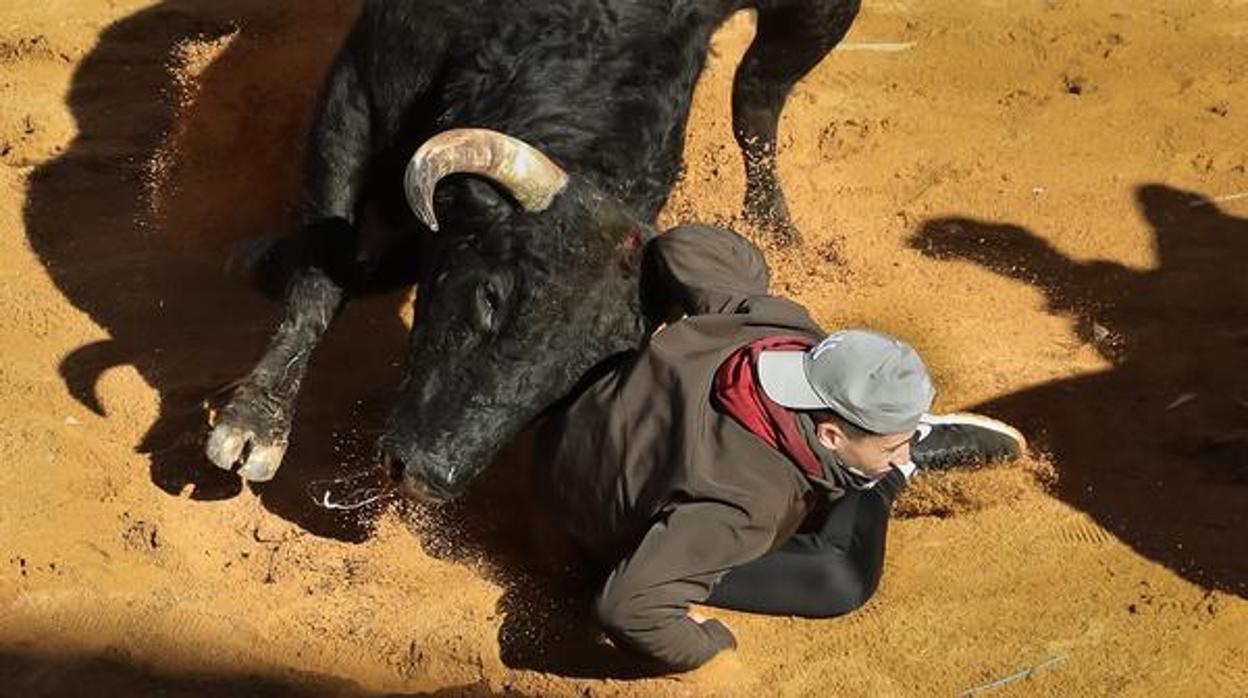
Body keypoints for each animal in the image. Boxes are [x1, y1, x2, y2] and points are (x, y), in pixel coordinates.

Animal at [204, 0, 863, 501]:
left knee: (759, 92)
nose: (424, 477)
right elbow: (324, 268)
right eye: (491, 298)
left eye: (590, 369)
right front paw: (254, 424)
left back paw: (775, 226)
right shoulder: (362, 87)